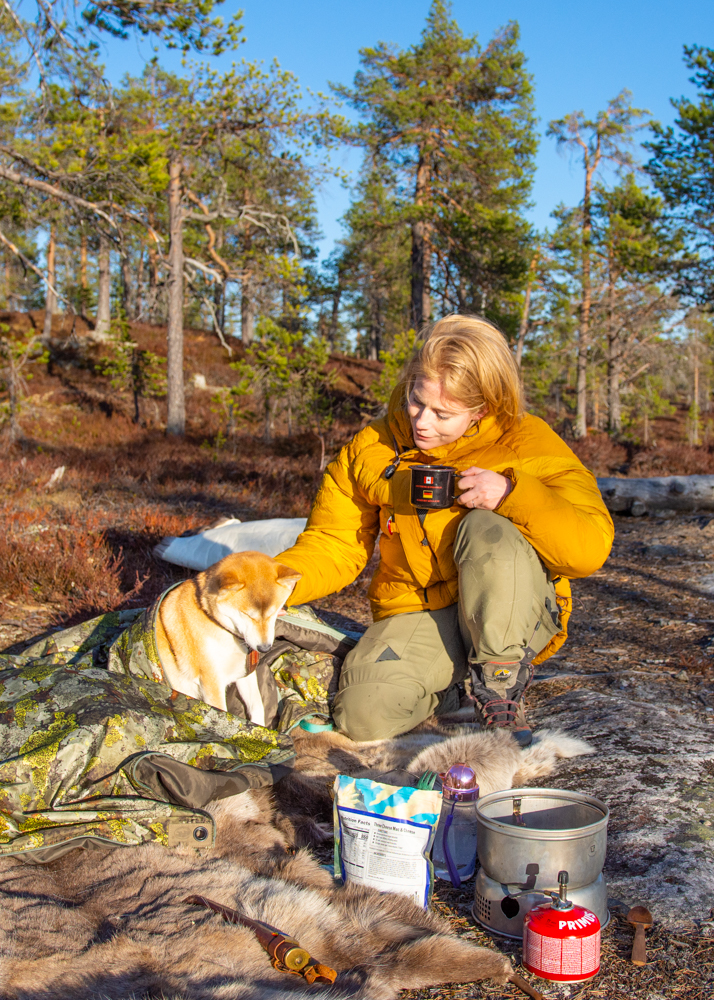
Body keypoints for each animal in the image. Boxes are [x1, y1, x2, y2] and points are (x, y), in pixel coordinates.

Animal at [156, 552, 300, 724]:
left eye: (272, 613)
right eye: (248, 615)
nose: (264, 648)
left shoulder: (245, 671)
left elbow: (257, 706)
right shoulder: (212, 682)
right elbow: (221, 713)